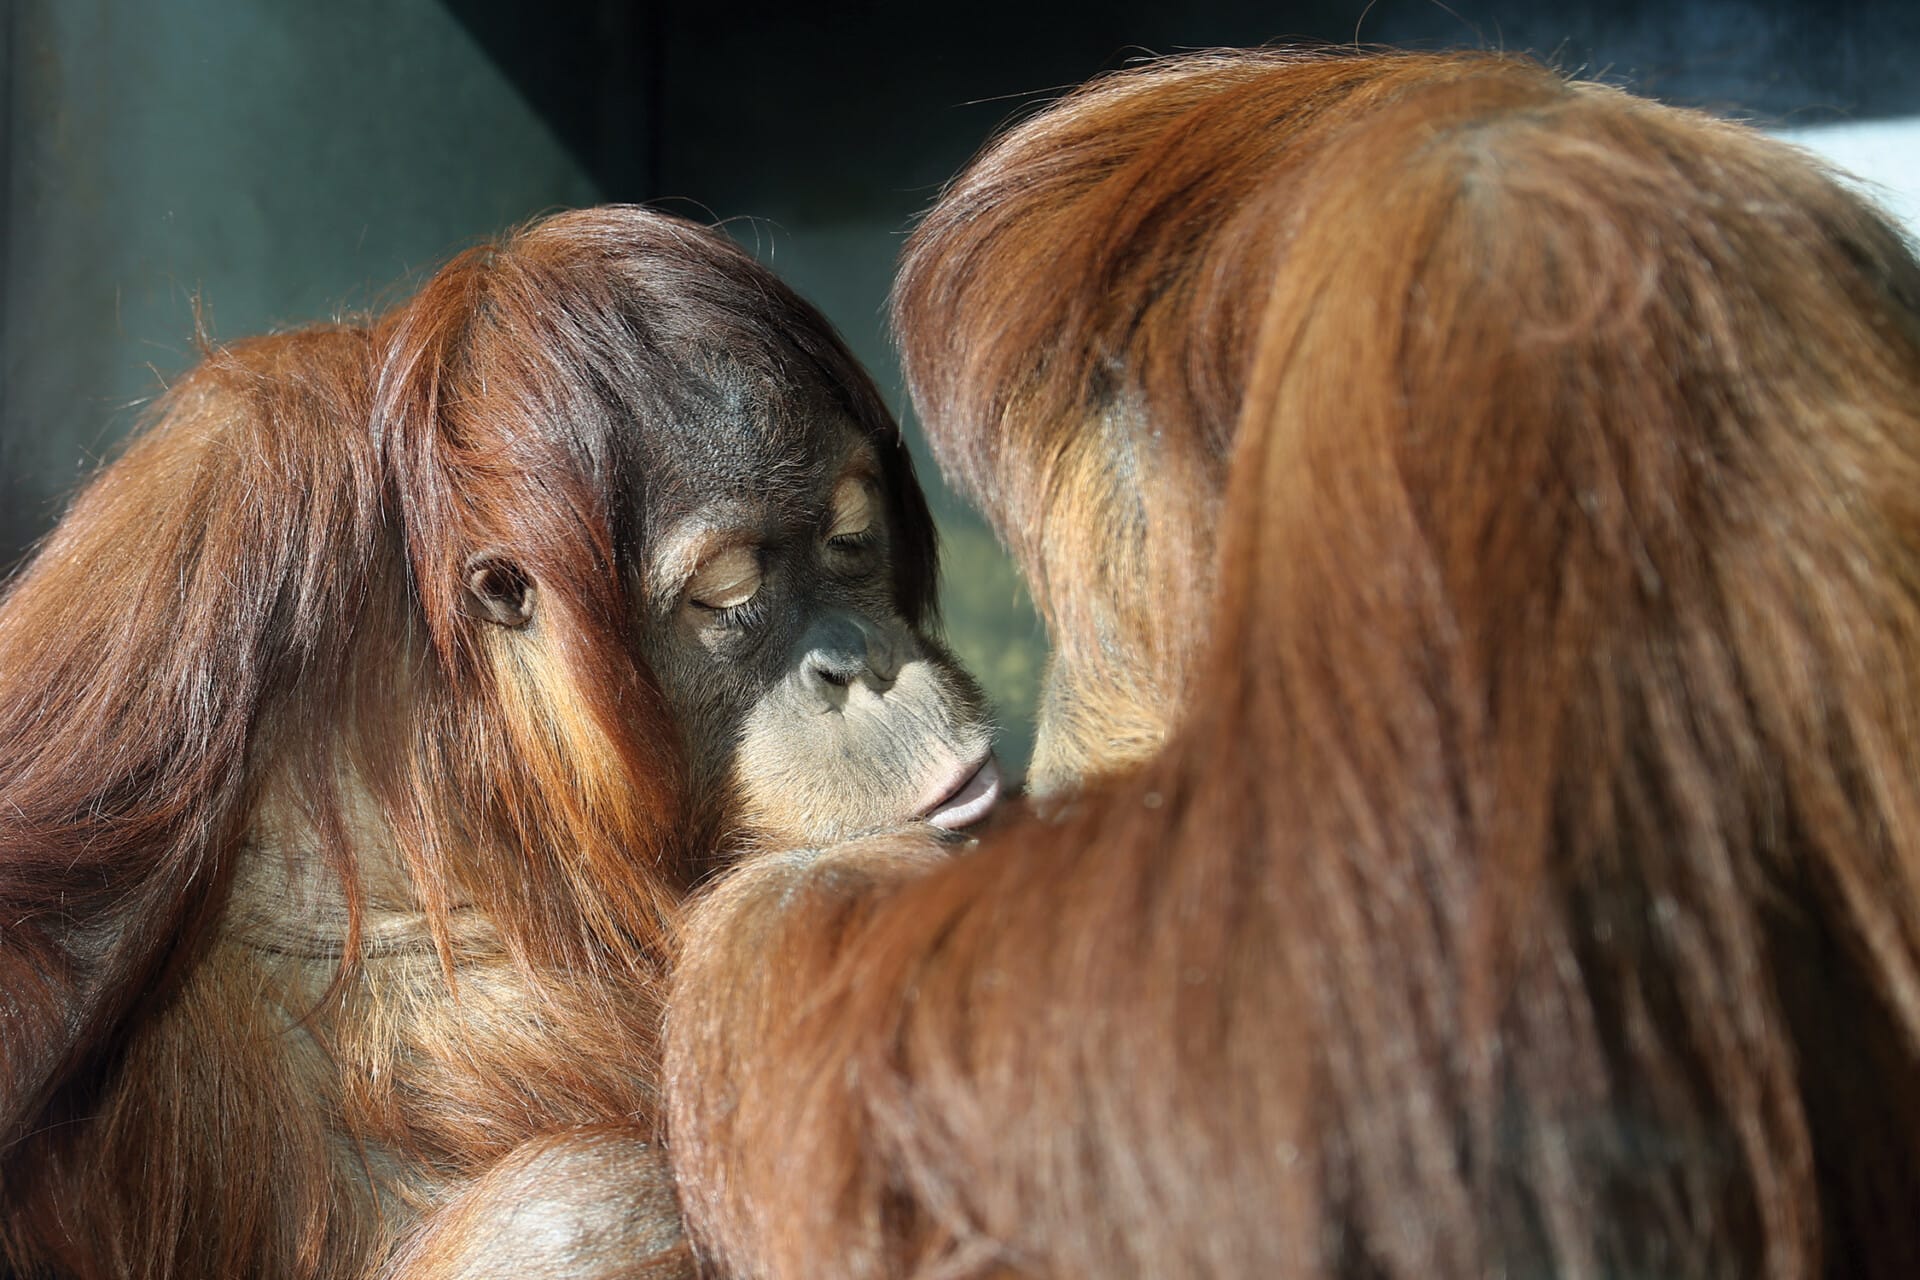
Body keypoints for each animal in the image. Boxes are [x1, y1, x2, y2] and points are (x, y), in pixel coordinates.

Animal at [0, 204, 998, 1279]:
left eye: (850, 541)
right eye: (728, 594)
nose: (858, 663)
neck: (473, 695)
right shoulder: (221, 497)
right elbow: (46, 942)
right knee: (587, 1203)